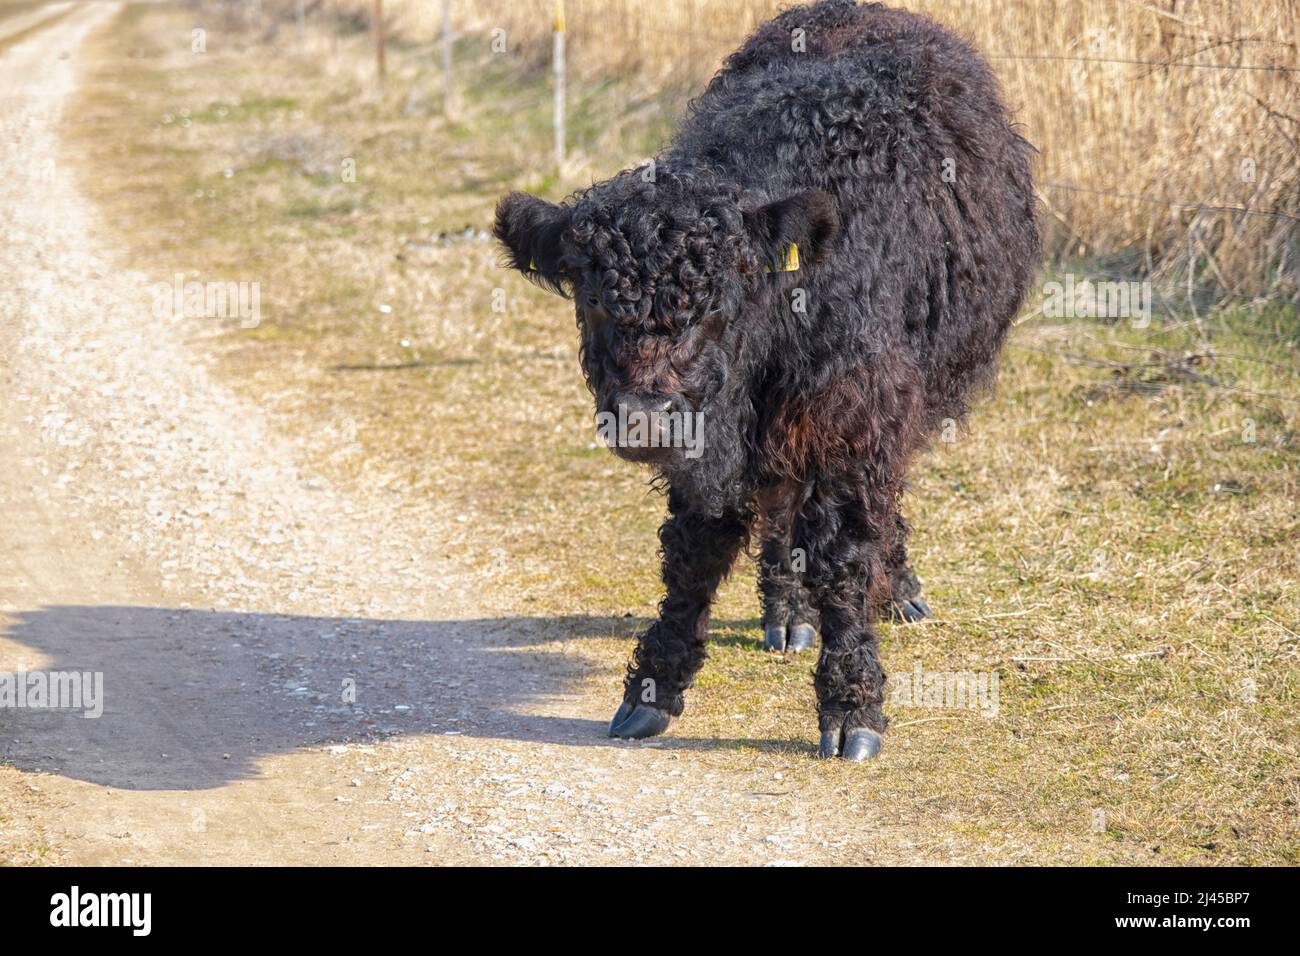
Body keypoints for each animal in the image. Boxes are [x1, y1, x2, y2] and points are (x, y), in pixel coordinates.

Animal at [491, 1, 1040, 764]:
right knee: (782, 510)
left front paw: (853, 706)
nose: (643, 419)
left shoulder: (852, 415)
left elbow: (844, 555)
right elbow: (694, 554)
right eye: (594, 300)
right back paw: (786, 610)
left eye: (718, 305)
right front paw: (653, 689)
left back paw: (895, 588)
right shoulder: (710, 437)